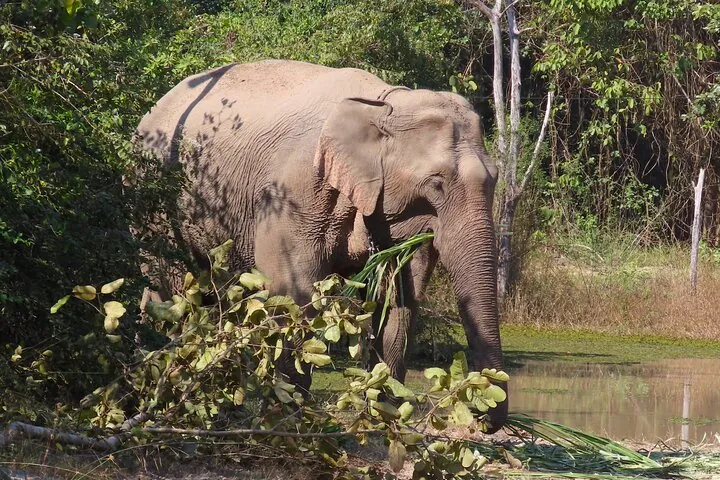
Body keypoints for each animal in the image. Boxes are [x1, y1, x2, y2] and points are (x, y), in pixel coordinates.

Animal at [134, 59, 507, 432]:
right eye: (436, 183)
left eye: (495, 178)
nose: (481, 418)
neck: (383, 103)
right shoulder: (293, 195)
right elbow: (294, 295)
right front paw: (288, 421)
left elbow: (397, 301)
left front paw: (384, 419)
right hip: (156, 209)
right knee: (174, 291)